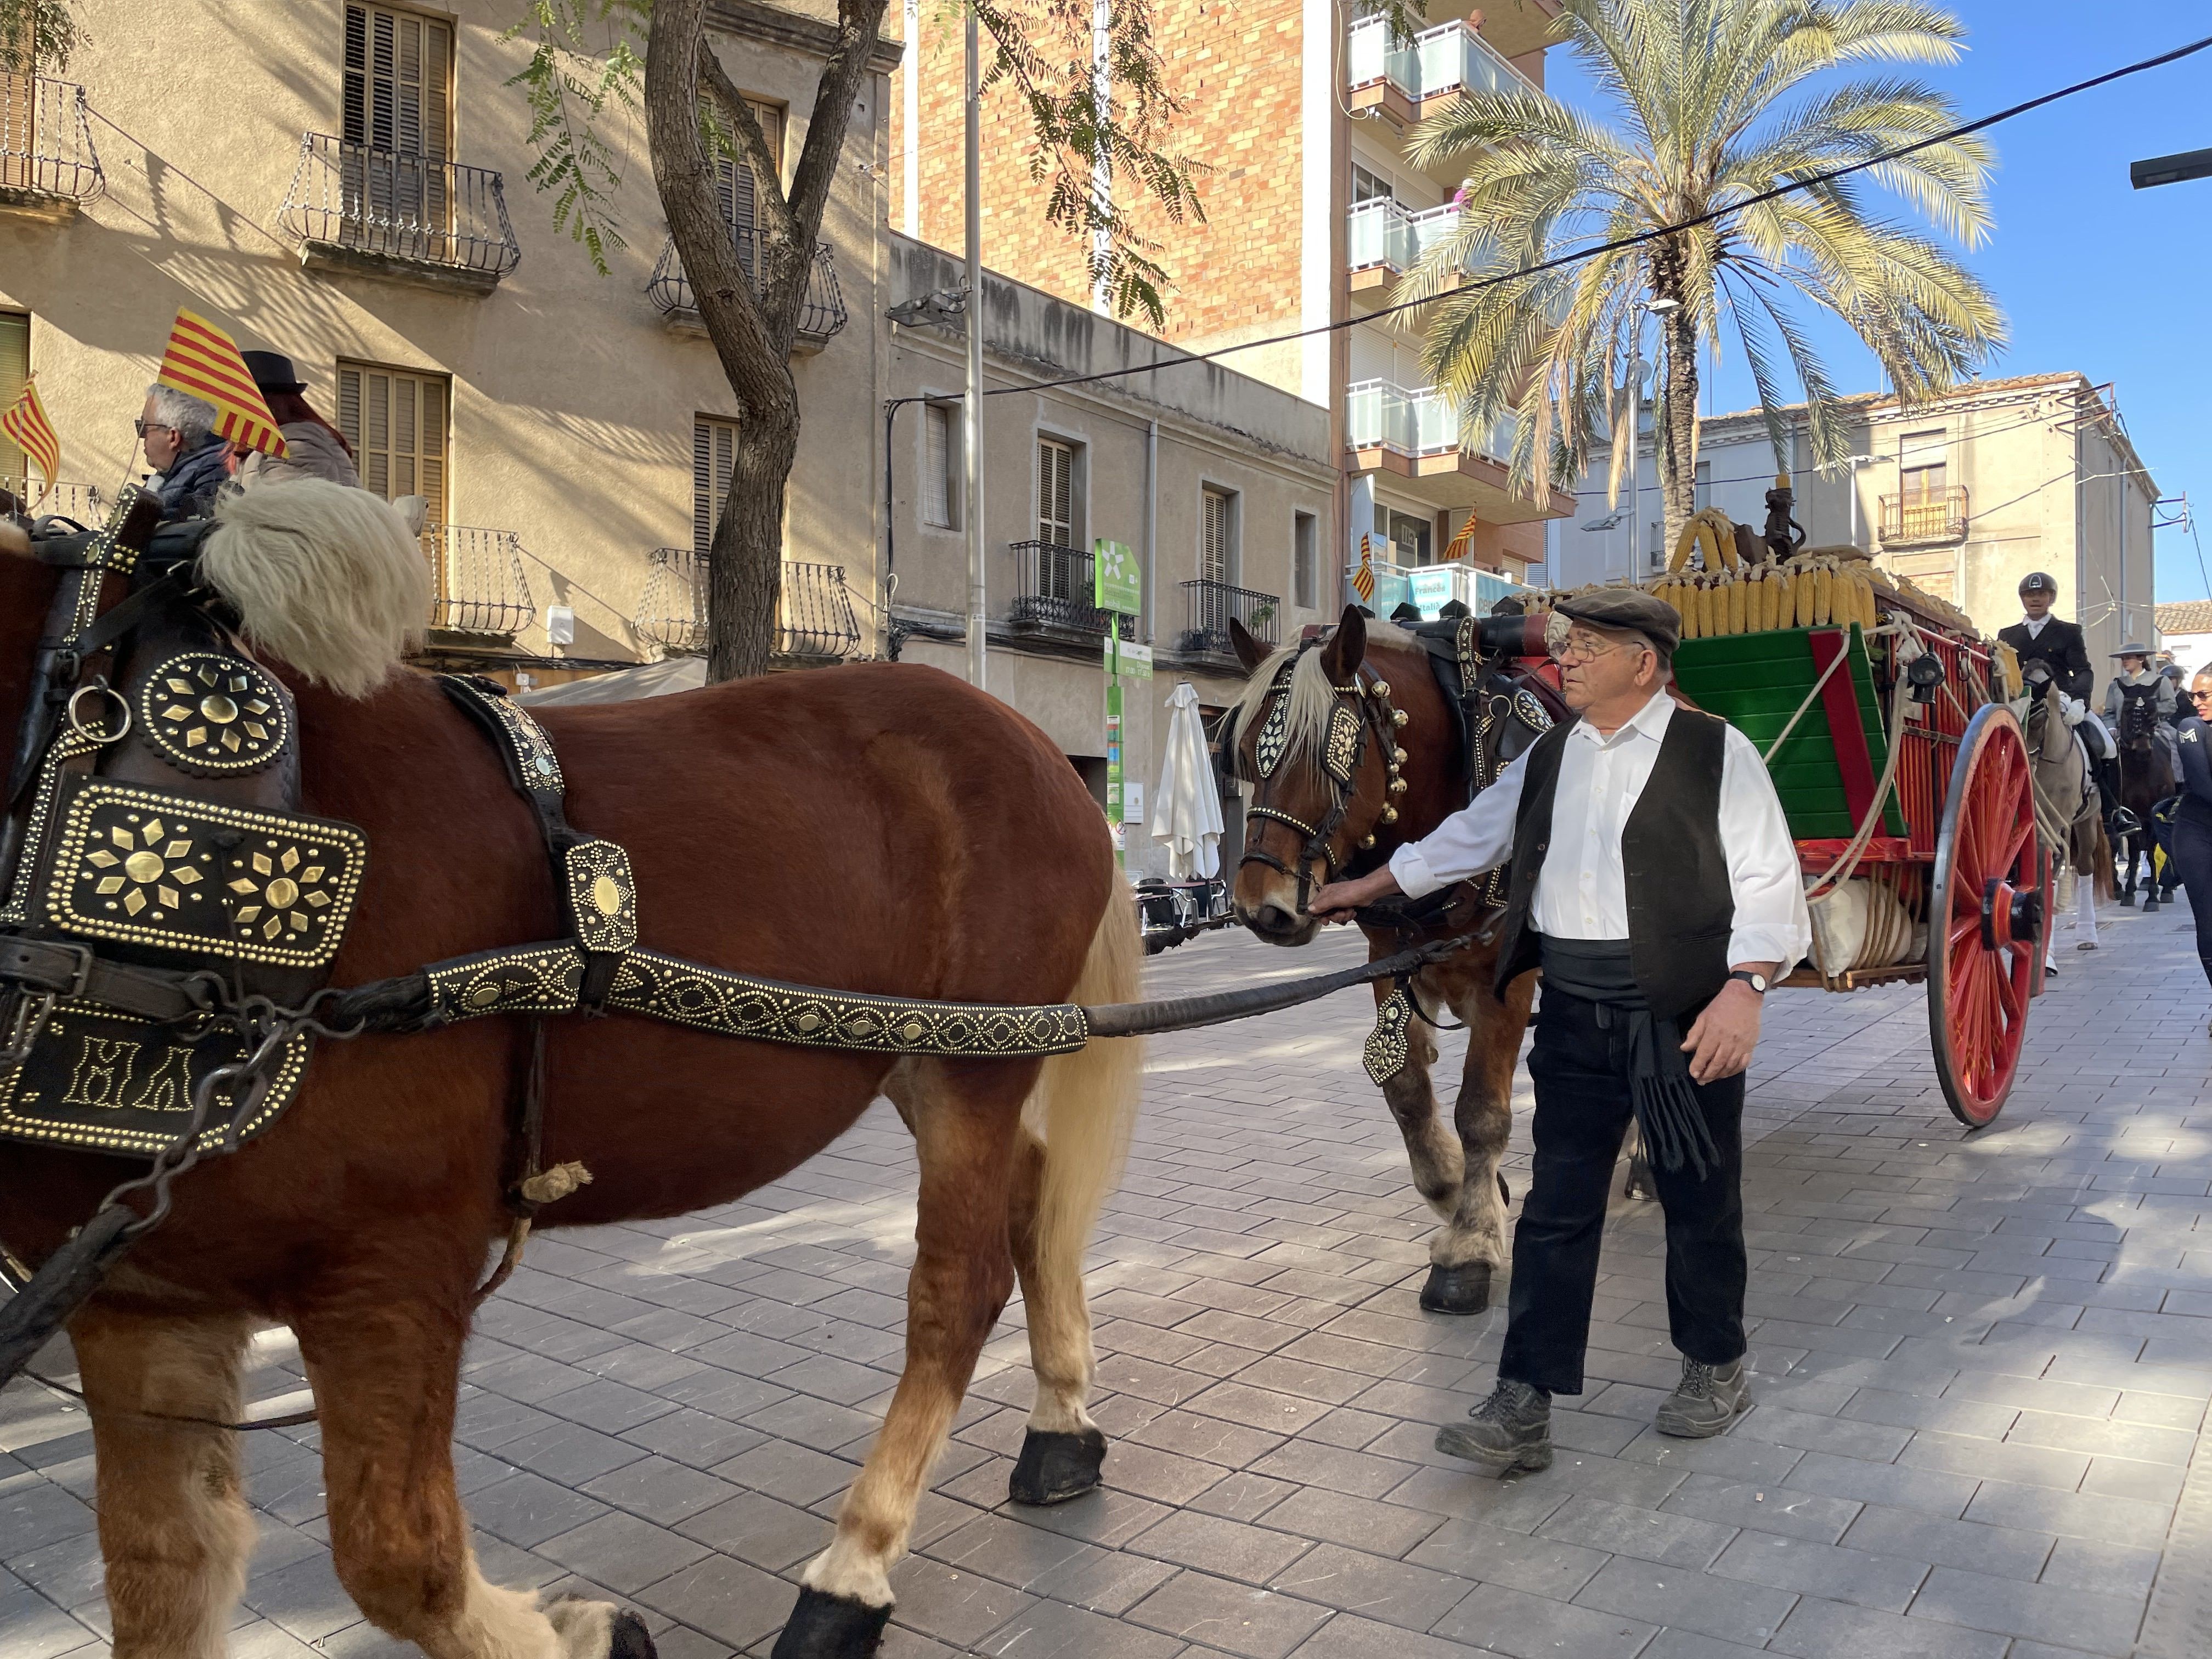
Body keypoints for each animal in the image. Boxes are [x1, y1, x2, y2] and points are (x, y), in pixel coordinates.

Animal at [0, 493, 1150, 1659]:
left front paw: (582, 1631)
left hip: (970, 1067)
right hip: (924, 1056)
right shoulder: (143, 1301)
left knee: (956, 1287)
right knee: (1031, 1199)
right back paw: (1060, 1422)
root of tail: (1035, 745)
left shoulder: (389, 1266)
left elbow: (401, 1561)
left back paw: (852, 1568)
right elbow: (162, 1573)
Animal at [1221, 614, 1531, 1327]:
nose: (1260, 908)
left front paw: (1470, 1247)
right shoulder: (1390, 964)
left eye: (1325, 756)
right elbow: (1407, 1094)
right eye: (1245, 754)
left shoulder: (1504, 981)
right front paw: (1458, 1192)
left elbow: (1482, 1110)